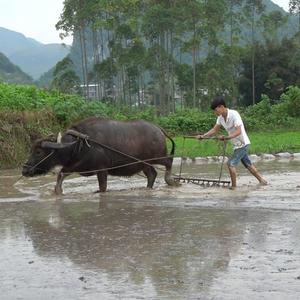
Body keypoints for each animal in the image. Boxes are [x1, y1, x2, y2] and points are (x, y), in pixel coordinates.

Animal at [22, 117, 178, 195]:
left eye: (38, 152)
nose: (24, 170)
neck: (78, 145)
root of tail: (159, 130)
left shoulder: (102, 170)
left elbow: (102, 187)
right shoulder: (75, 166)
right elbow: (61, 174)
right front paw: (58, 191)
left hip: (157, 156)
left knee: (168, 161)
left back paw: (171, 180)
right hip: (143, 163)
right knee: (152, 174)